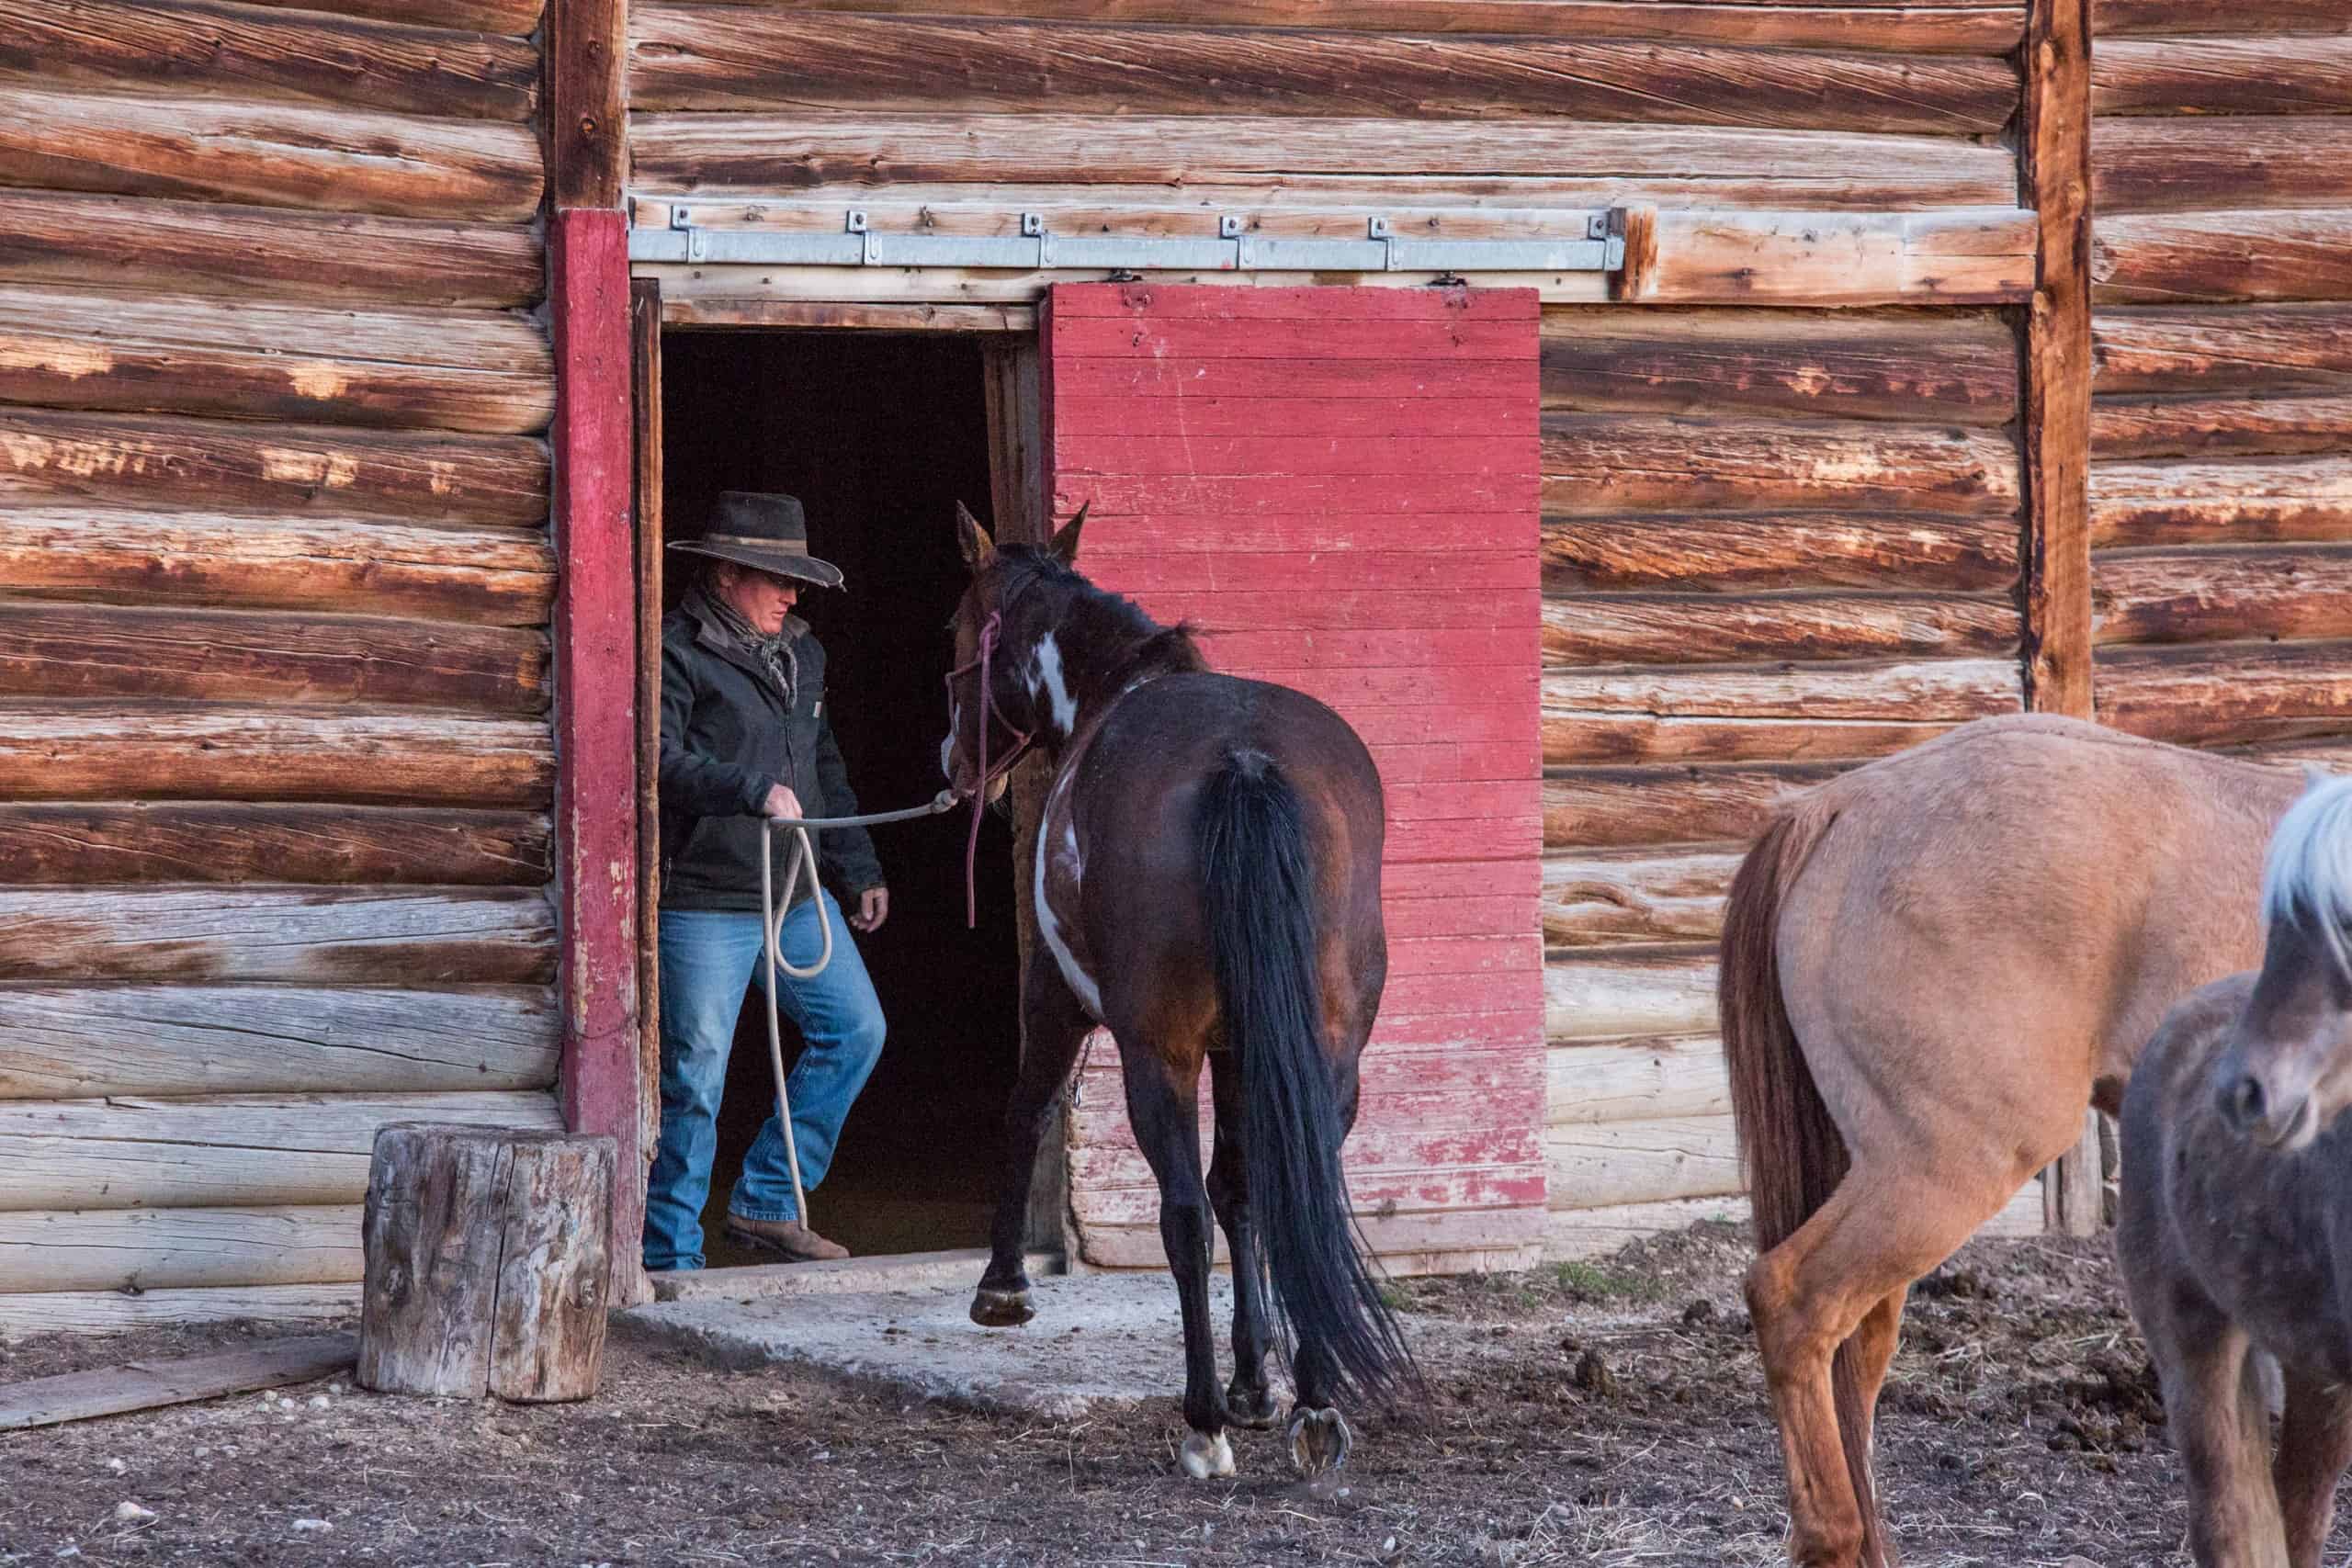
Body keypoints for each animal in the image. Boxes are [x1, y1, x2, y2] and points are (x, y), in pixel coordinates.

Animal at [938, 501, 1415, 1481]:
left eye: (958, 629)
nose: (957, 766)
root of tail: (1246, 760)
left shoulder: (1058, 993)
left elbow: (1030, 1106)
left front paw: (1002, 1286)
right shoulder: (1245, 1049)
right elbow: (1245, 1192)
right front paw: (1256, 1384)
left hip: (1155, 1055)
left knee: (1183, 1215)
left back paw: (1202, 1424)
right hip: (1324, 1057)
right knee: (1288, 1192)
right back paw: (1312, 1402)